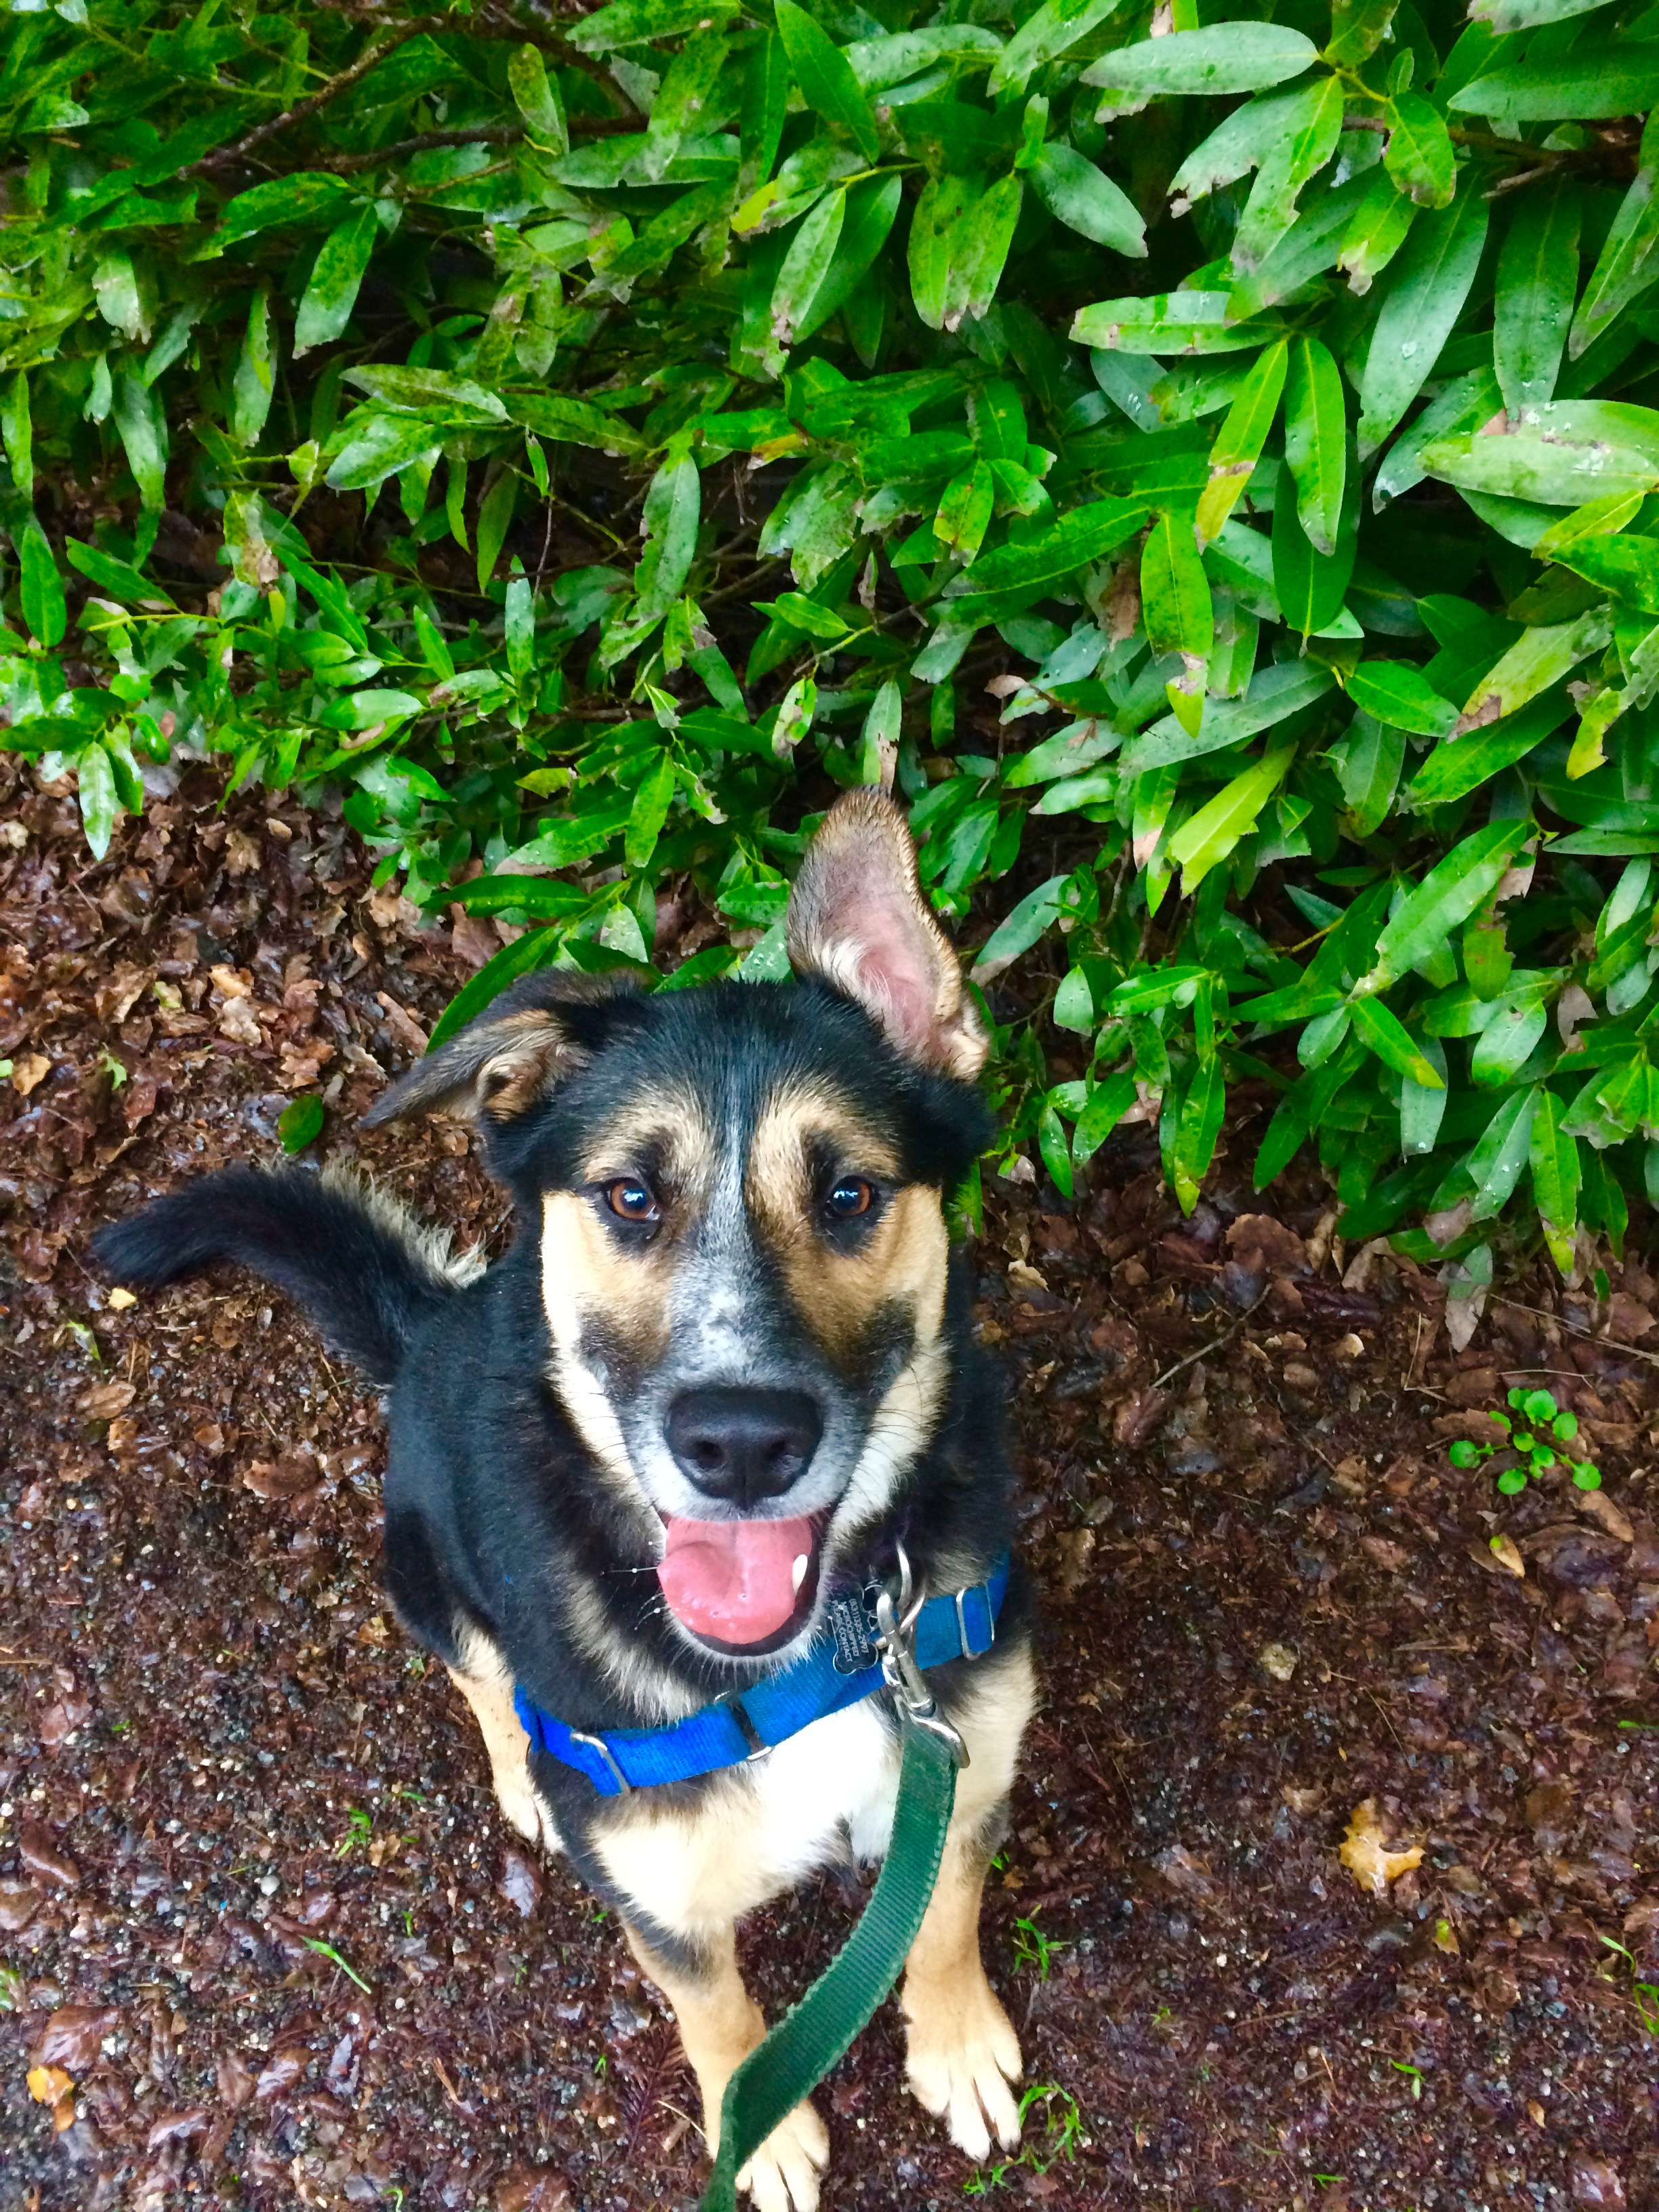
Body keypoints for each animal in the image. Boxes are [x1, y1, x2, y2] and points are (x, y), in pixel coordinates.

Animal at [94, 789, 1036, 2212]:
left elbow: (942, 1912)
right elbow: (715, 2009)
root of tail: (425, 1325)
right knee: (481, 1679)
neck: (807, 1652)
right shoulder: (658, 1889)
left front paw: (956, 2038)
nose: (741, 1441)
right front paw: (757, 2129)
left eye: (849, 1192)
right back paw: (522, 1773)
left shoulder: (960, 1761)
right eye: (629, 1194)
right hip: (424, 1569)